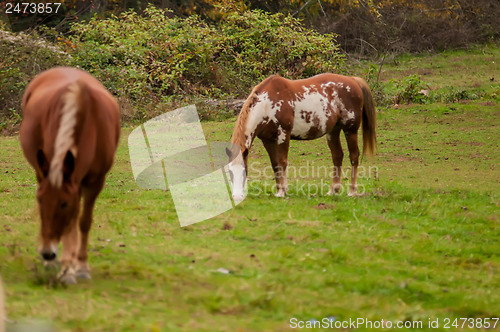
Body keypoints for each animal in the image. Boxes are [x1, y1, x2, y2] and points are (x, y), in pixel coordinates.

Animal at [19, 67, 122, 282]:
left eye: (64, 204)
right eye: (39, 200)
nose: (47, 253)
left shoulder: (94, 182)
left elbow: (83, 222)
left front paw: (81, 266)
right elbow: (71, 224)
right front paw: (66, 269)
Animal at [227, 73, 376, 200]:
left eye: (244, 171)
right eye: (230, 172)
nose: (237, 196)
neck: (267, 104)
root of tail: (353, 80)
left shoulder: (283, 135)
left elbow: (282, 162)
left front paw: (282, 192)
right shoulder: (267, 140)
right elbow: (275, 164)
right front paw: (279, 190)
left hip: (350, 130)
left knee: (354, 156)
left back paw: (352, 191)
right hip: (333, 131)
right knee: (337, 156)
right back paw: (333, 190)